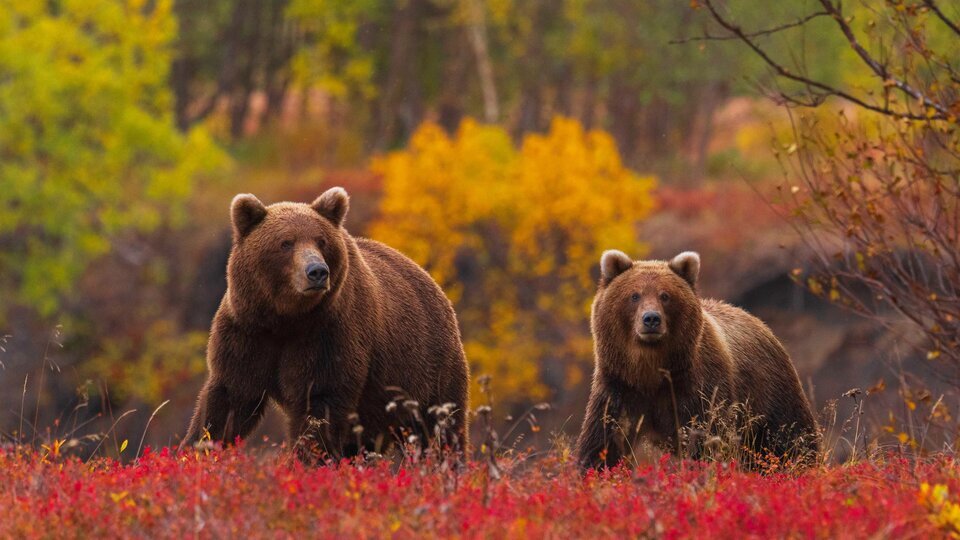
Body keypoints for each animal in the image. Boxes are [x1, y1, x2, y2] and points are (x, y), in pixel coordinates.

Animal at [182, 188, 470, 458]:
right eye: (286, 242)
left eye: (321, 241)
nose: (317, 271)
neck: (285, 318)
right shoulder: (248, 332)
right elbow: (228, 401)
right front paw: (196, 450)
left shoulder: (328, 334)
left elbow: (319, 404)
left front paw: (305, 460)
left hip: (427, 370)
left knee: (439, 427)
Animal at [572, 250, 820, 468]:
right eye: (634, 295)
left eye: (665, 295)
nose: (651, 319)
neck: (650, 370)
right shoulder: (619, 386)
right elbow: (603, 440)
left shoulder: (698, 387)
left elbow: (706, 440)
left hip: (769, 392)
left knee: (789, 437)